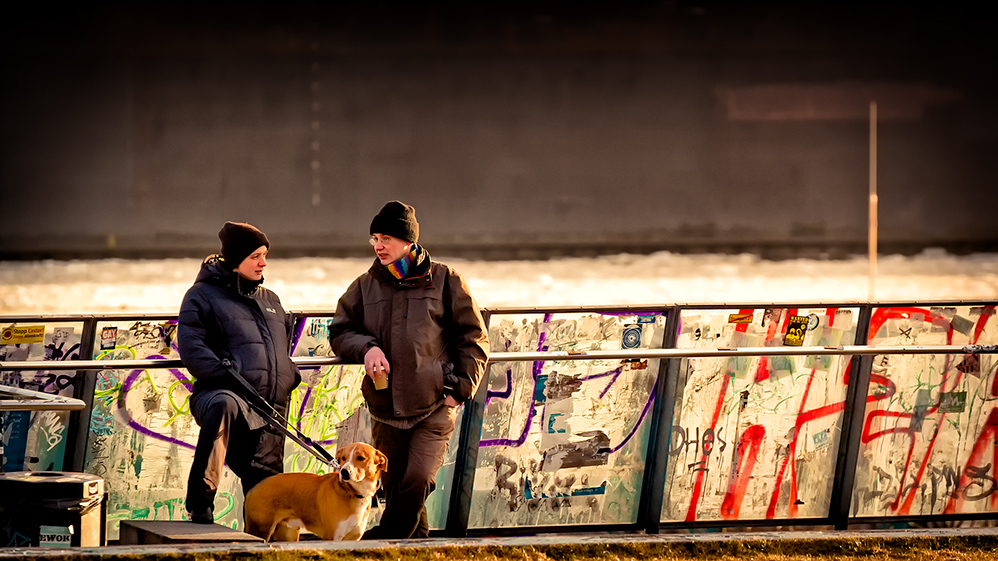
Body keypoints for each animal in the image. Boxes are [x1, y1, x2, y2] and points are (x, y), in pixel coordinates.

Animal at [244, 440, 388, 540]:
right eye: (343, 458)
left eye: (361, 458)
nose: (344, 472)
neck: (354, 493)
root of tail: (254, 488)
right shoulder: (332, 537)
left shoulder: (352, 539)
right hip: (260, 530)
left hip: (287, 534)